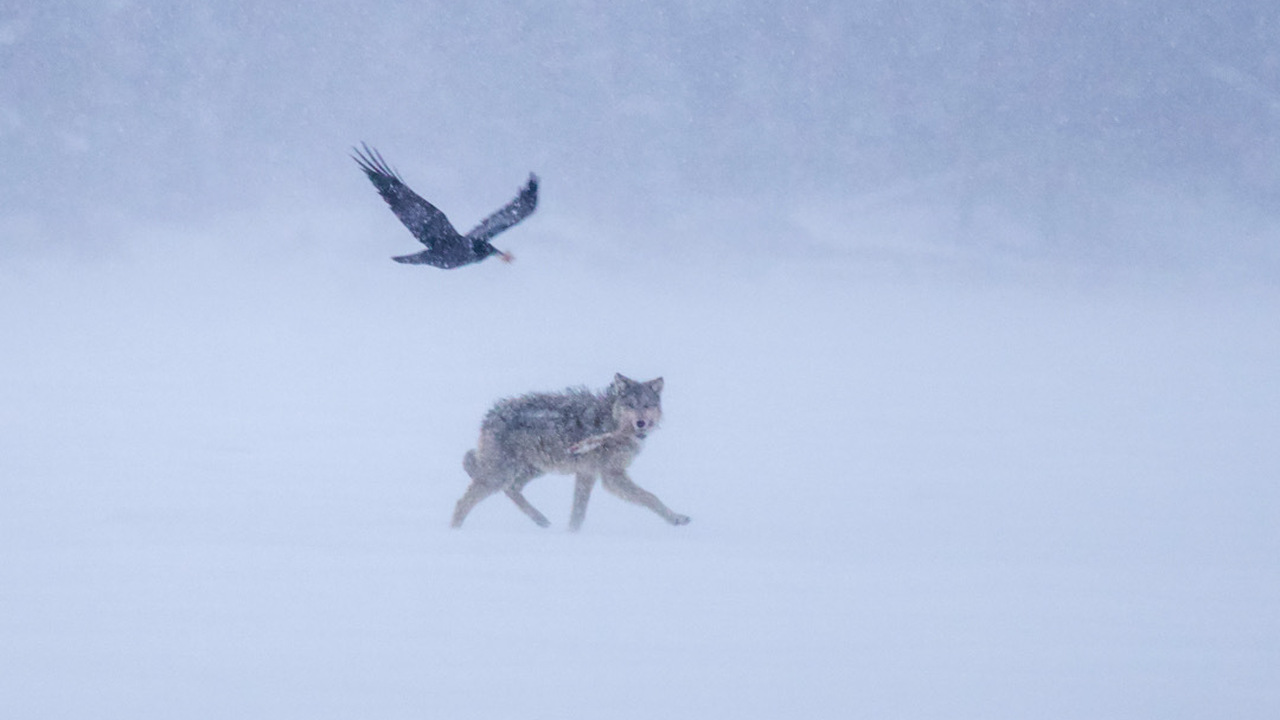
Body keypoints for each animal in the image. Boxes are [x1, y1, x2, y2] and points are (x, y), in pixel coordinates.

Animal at [451, 374, 690, 530]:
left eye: (647, 405)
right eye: (630, 405)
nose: (641, 423)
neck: (611, 423)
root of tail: (490, 416)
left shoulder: (587, 474)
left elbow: (578, 512)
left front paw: (572, 534)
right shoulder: (610, 477)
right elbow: (650, 497)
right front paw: (676, 519)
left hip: (532, 470)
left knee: (511, 489)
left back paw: (542, 521)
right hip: (501, 474)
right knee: (463, 501)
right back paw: (454, 532)